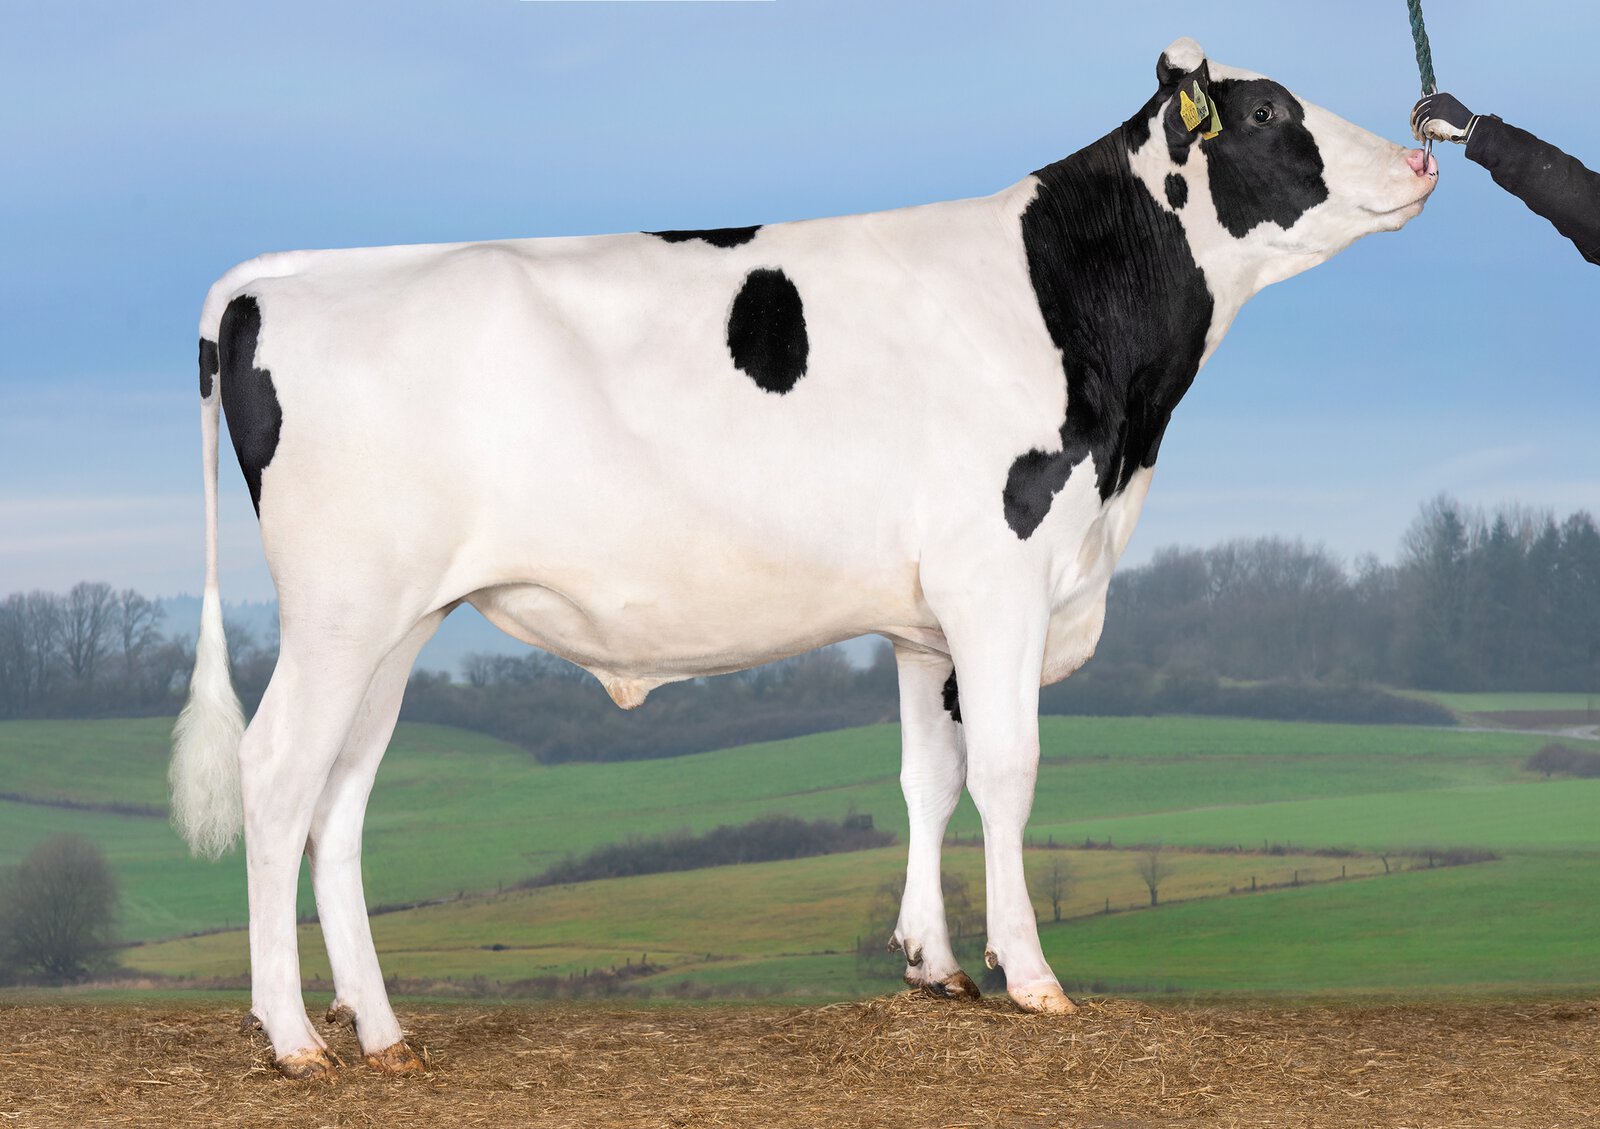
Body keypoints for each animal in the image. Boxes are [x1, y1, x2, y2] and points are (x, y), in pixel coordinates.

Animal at [169, 37, 1437, 1078]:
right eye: (1268, 111)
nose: (1423, 157)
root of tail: (272, 278)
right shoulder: (997, 574)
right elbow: (1007, 770)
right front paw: (1028, 975)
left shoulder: (923, 617)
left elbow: (928, 776)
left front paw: (932, 963)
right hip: (341, 609)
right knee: (277, 772)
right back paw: (292, 1038)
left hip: (396, 620)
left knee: (340, 796)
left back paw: (382, 1030)